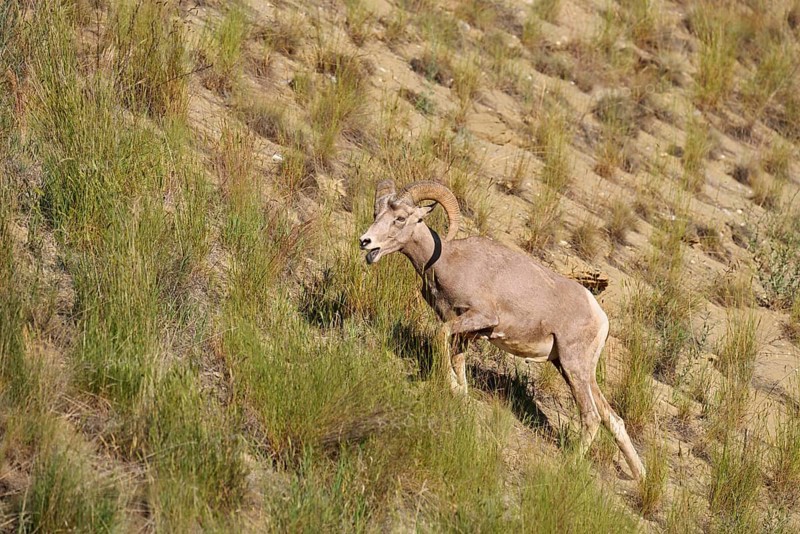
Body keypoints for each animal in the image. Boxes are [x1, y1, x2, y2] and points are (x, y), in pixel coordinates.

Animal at [358, 180, 646, 481]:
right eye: (377, 213)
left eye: (400, 218)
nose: (365, 242)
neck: (447, 261)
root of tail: (599, 316)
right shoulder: (466, 333)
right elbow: (458, 360)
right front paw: (461, 393)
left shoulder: (479, 318)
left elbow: (440, 336)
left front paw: (452, 386)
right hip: (575, 370)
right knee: (613, 419)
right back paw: (641, 477)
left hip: (573, 366)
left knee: (591, 417)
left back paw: (569, 464)